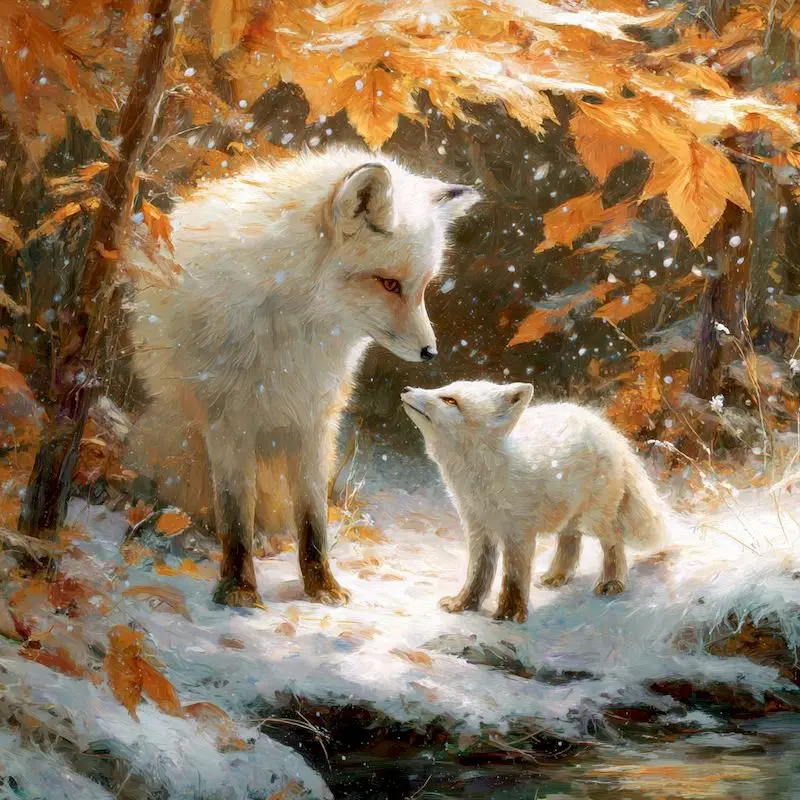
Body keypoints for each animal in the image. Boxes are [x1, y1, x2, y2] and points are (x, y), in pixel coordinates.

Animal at [126, 147, 480, 608]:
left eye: (421, 287)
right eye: (388, 284)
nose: (430, 353)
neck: (294, 328)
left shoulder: (315, 417)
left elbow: (313, 520)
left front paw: (321, 587)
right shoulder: (228, 418)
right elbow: (235, 516)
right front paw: (238, 589)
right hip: (176, 443)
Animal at [401, 380, 668, 623]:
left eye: (450, 400)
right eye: (443, 389)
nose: (406, 389)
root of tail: (607, 429)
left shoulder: (518, 533)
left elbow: (514, 577)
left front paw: (509, 614)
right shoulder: (478, 528)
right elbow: (477, 574)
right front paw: (463, 604)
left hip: (594, 518)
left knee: (614, 542)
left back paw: (612, 581)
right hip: (570, 514)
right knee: (571, 541)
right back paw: (557, 576)